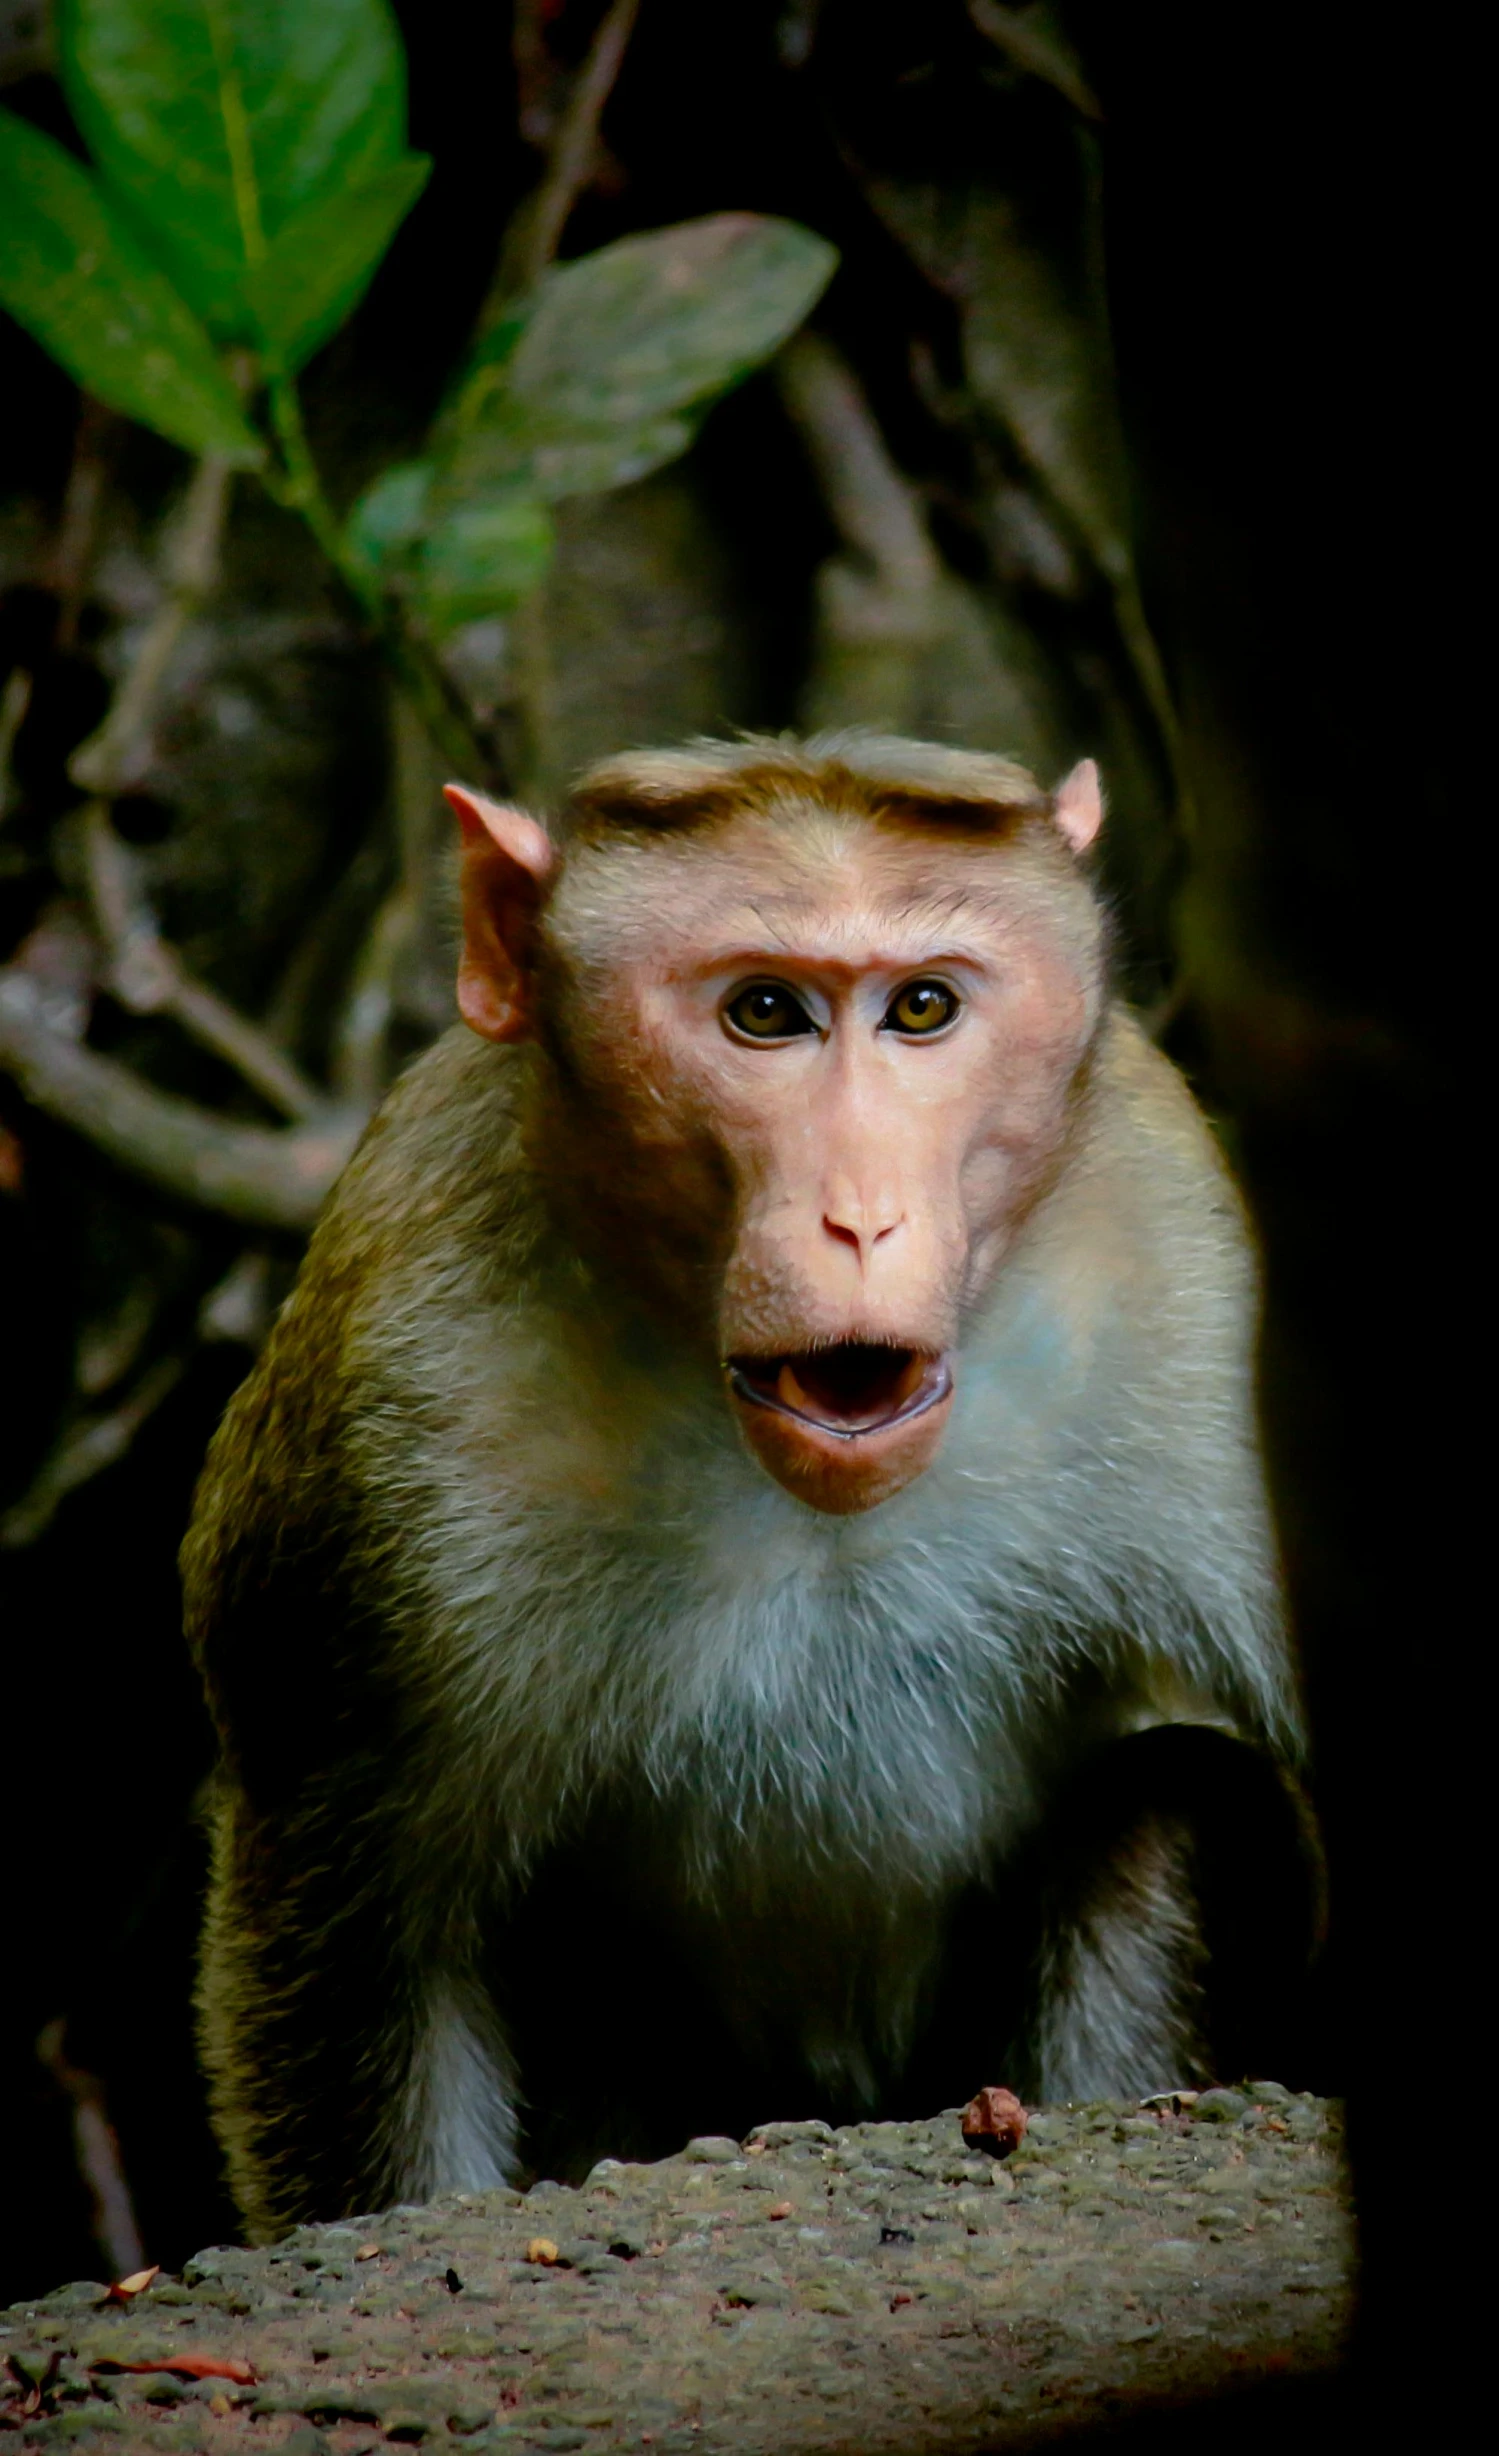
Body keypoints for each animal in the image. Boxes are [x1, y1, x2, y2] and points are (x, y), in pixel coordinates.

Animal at [184, 717, 1307, 2239]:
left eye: (919, 1009)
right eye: (765, 1014)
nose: (860, 1217)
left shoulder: (1196, 1287)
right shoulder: (384, 1428)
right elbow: (366, 1944)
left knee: (1167, 1796)